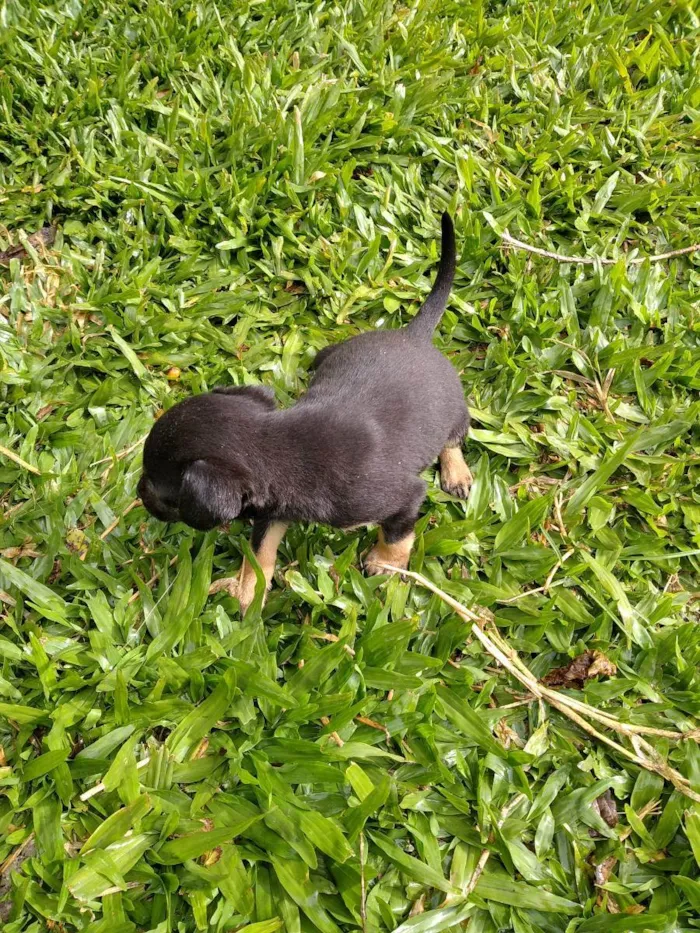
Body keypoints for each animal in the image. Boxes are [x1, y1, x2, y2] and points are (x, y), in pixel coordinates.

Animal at [138, 215, 470, 616]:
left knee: (454, 440)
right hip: (332, 353)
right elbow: (260, 552)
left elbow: (398, 536)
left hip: (454, 412)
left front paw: (385, 563)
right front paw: (248, 590)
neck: (282, 445)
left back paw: (457, 473)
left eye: (160, 490)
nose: (138, 493)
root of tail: (415, 334)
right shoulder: (274, 513)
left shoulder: (404, 497)